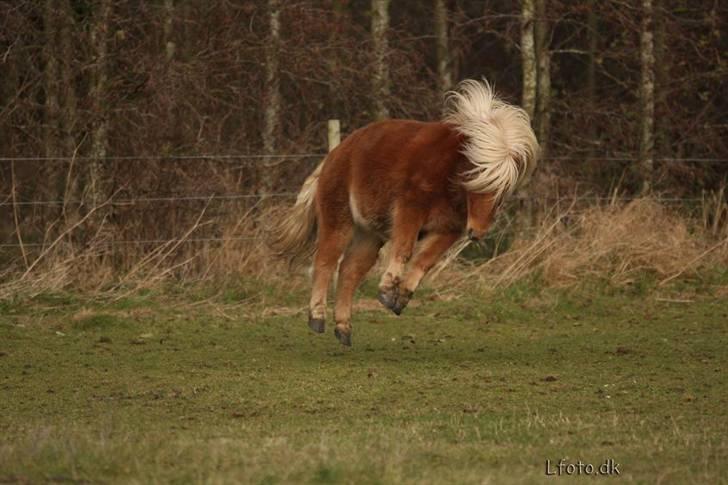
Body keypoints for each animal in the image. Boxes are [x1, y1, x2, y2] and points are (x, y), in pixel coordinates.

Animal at [272, 79, 540, 344]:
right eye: (477, 181)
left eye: (503, 192)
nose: (477, 233)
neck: (448, 173)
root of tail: (335, 155)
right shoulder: (409, 210)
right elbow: (404, 250)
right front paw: (387, 289)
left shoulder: (448, 229)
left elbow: (424, 262)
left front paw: (400, 298)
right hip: (339, 222)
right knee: (325, 262)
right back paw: (317, 317)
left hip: (369, 235)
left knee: (349, 270)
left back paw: (343, 327)